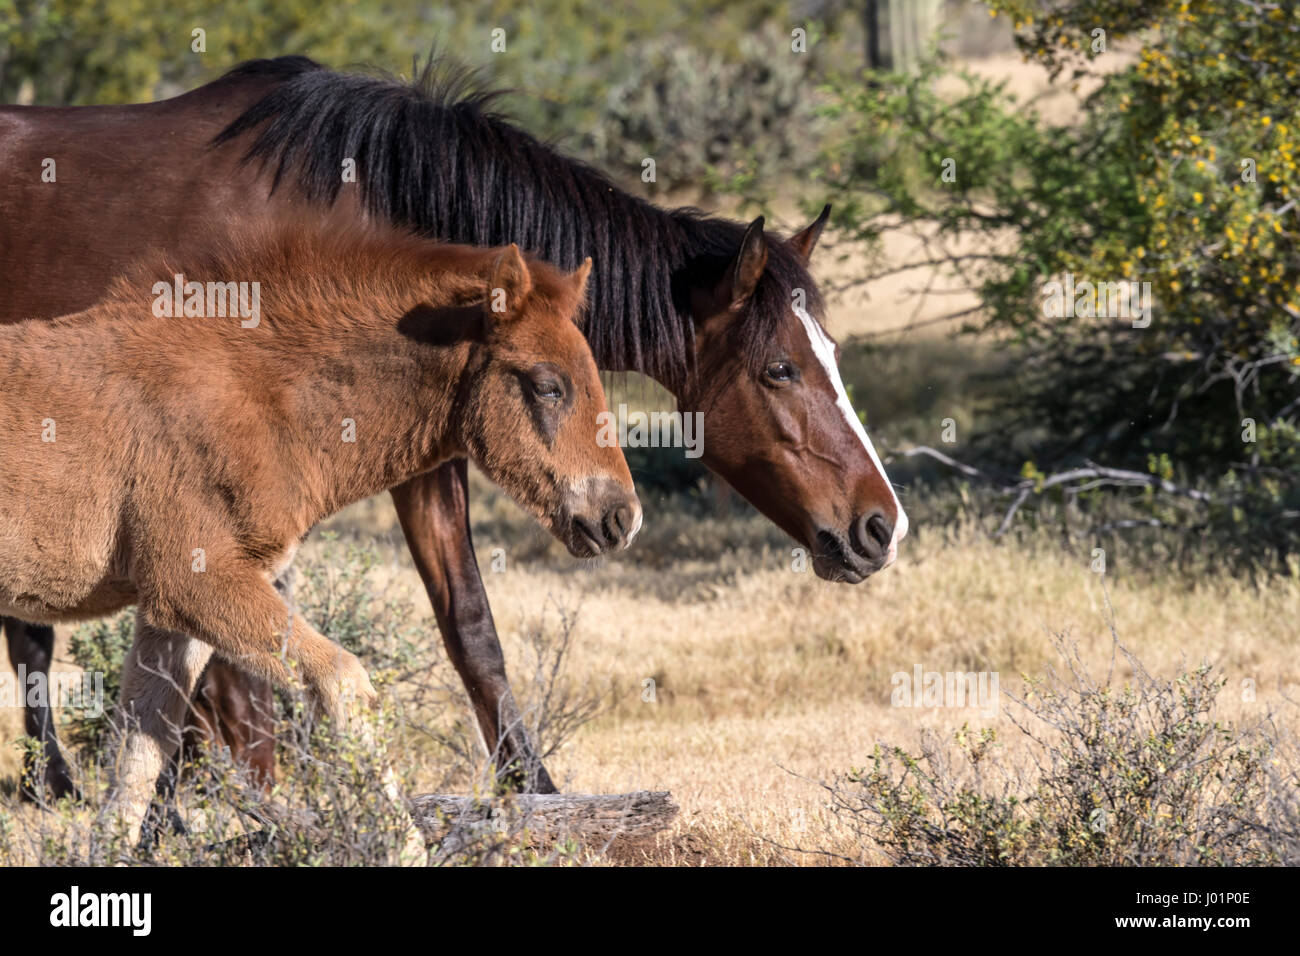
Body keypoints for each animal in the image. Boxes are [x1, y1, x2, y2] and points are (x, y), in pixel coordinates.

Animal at [0, 221, 639, 842]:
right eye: (548, 386)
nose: (622, 518)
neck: (254, 395)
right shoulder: (194, 582)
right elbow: (345, 682)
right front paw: (406, 845)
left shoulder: (172, 616)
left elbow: (138, 758)